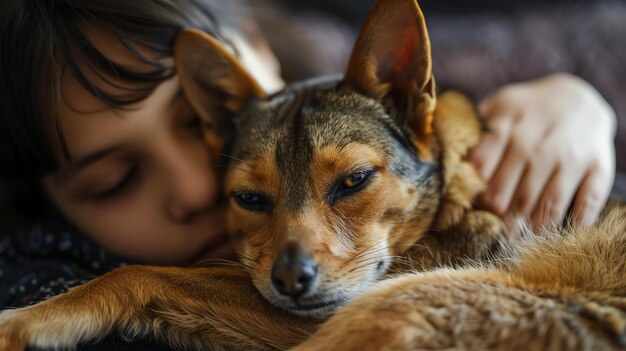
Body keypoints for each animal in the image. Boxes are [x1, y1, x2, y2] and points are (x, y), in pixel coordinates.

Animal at [0, 0, 620, 350]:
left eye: (354, 181)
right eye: (249, 198)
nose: (291, 280)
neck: (454, 195)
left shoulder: (332, 307)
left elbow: (138, 272)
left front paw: (28, 319)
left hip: (398, 302)